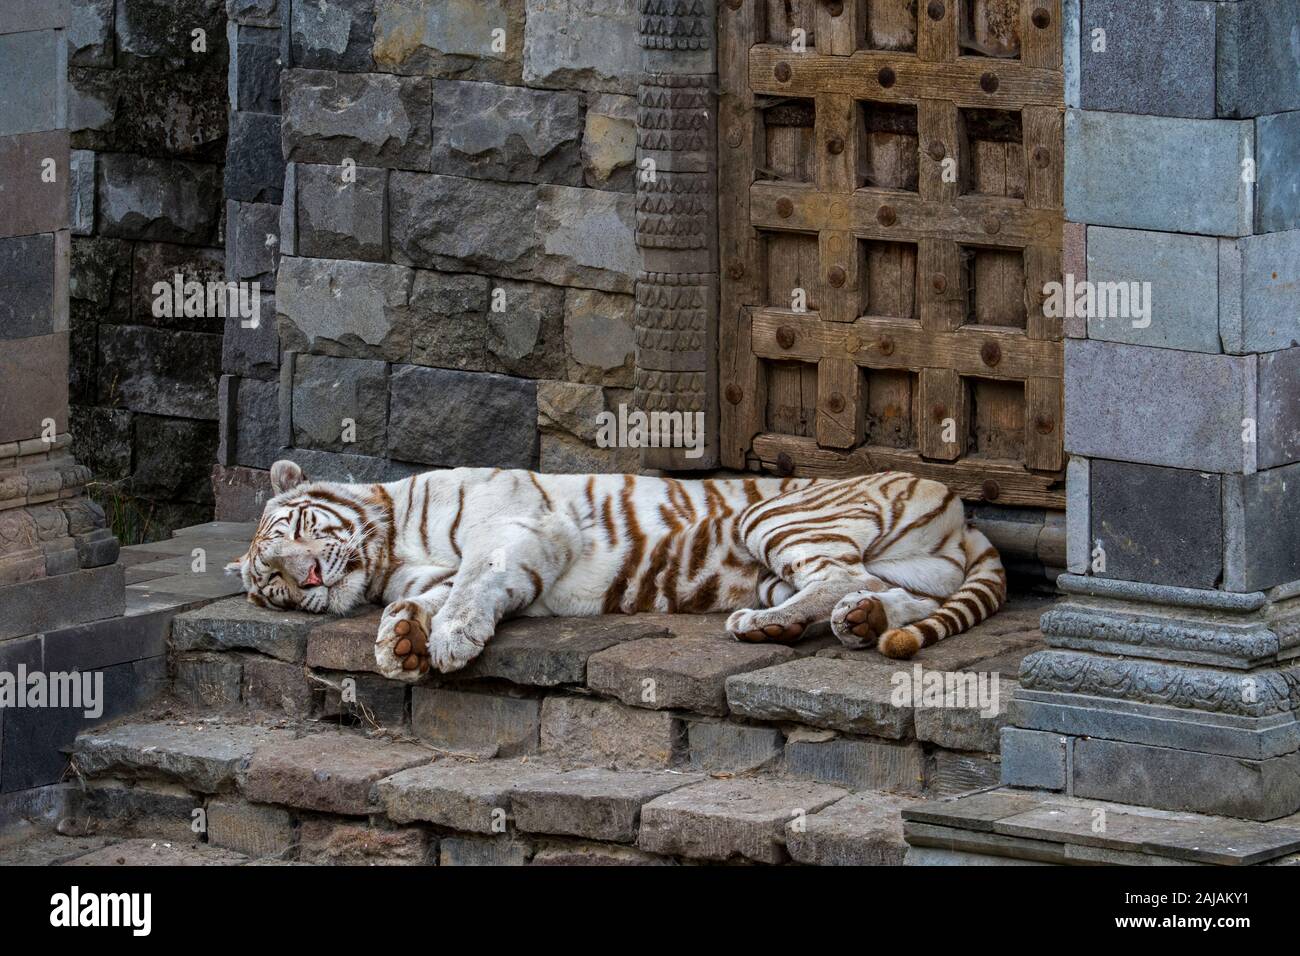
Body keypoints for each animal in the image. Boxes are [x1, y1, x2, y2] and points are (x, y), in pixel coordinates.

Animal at [228, 459, 1007, 681]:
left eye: (300, 530)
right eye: (271, 583)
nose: (306, 580)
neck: (390, 551)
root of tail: (962, 513)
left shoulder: (516, 532)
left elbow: (470, 587)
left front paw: (445, 640)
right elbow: (418, 602)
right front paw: (400, 643)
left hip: (776, 518)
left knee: (843, 575)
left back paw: (763, 625)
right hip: (899, 572)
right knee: (878, 589)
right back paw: (854, 624)